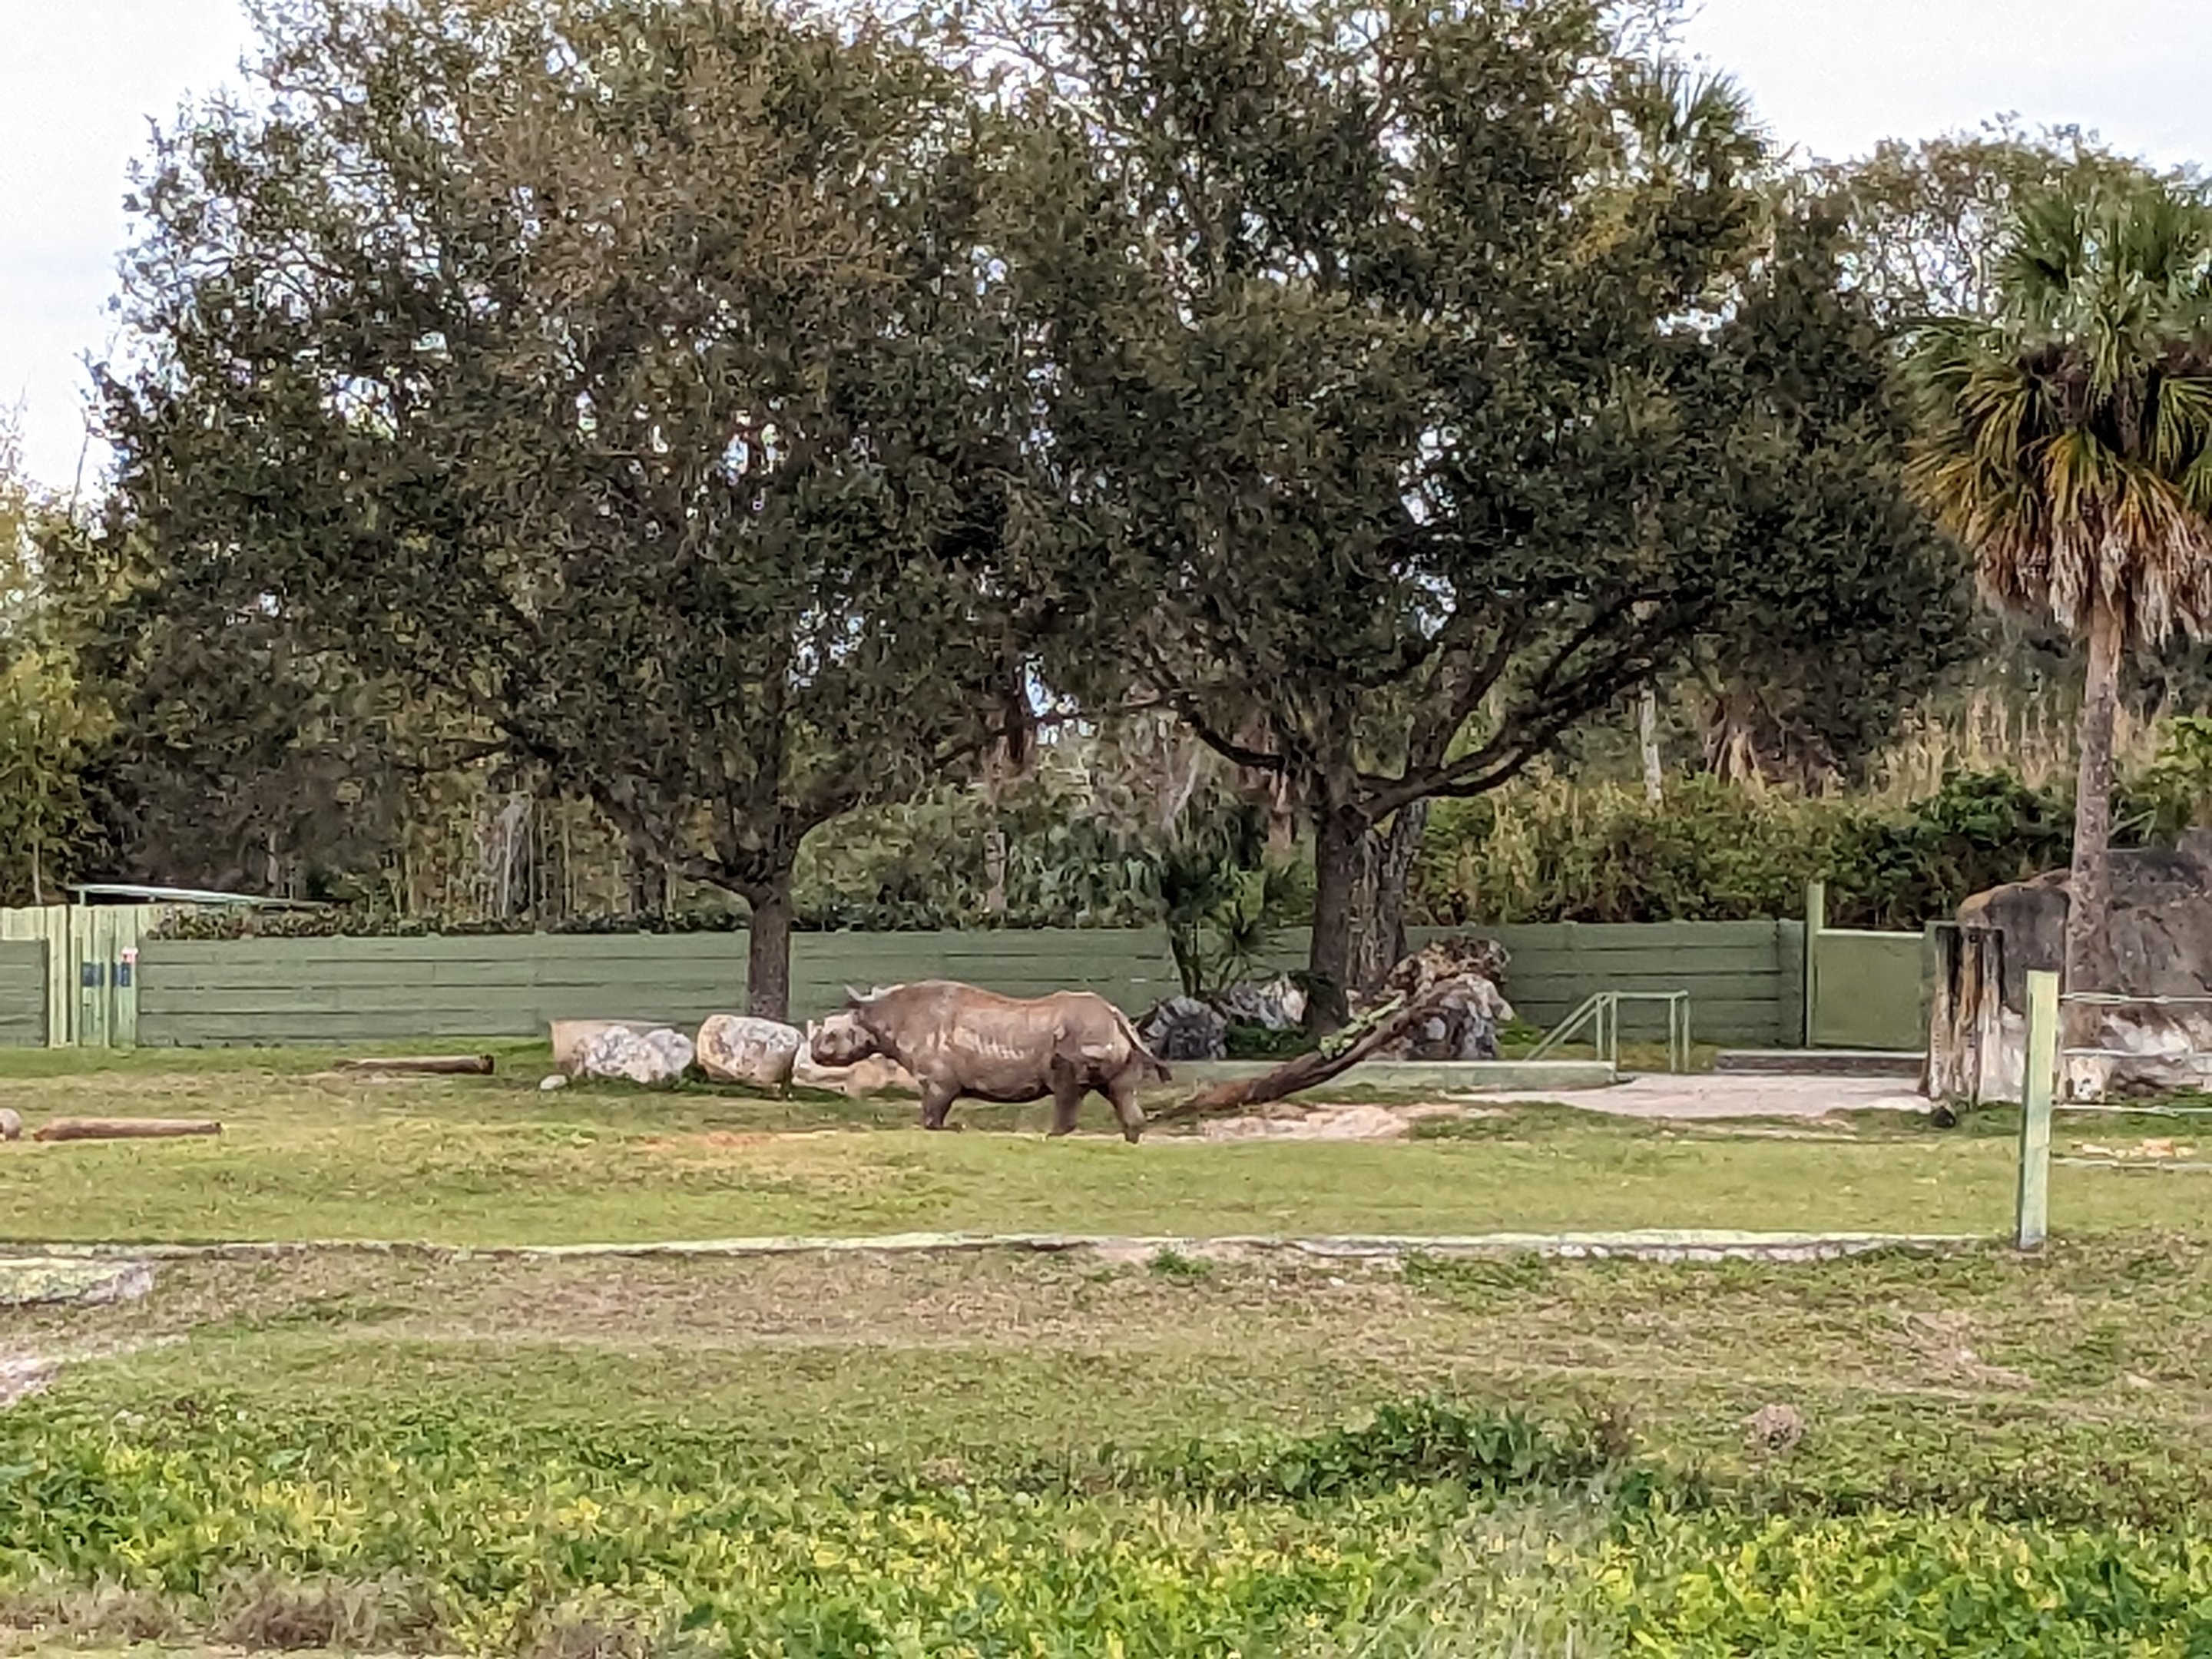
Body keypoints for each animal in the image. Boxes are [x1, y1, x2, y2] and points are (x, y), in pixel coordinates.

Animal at [810, 980, 1170, 1142]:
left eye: (832, 1035)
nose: (814, 1052)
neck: (880, 1015)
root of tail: (1117, 1017)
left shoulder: (937, 1079)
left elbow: (932, 1113)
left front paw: (946, 1129)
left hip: (1079, 1036)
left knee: (1067, 1087)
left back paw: (1052, 1137)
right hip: (1113, 1039)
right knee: (1120, 1091)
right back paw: (1131, 1140)